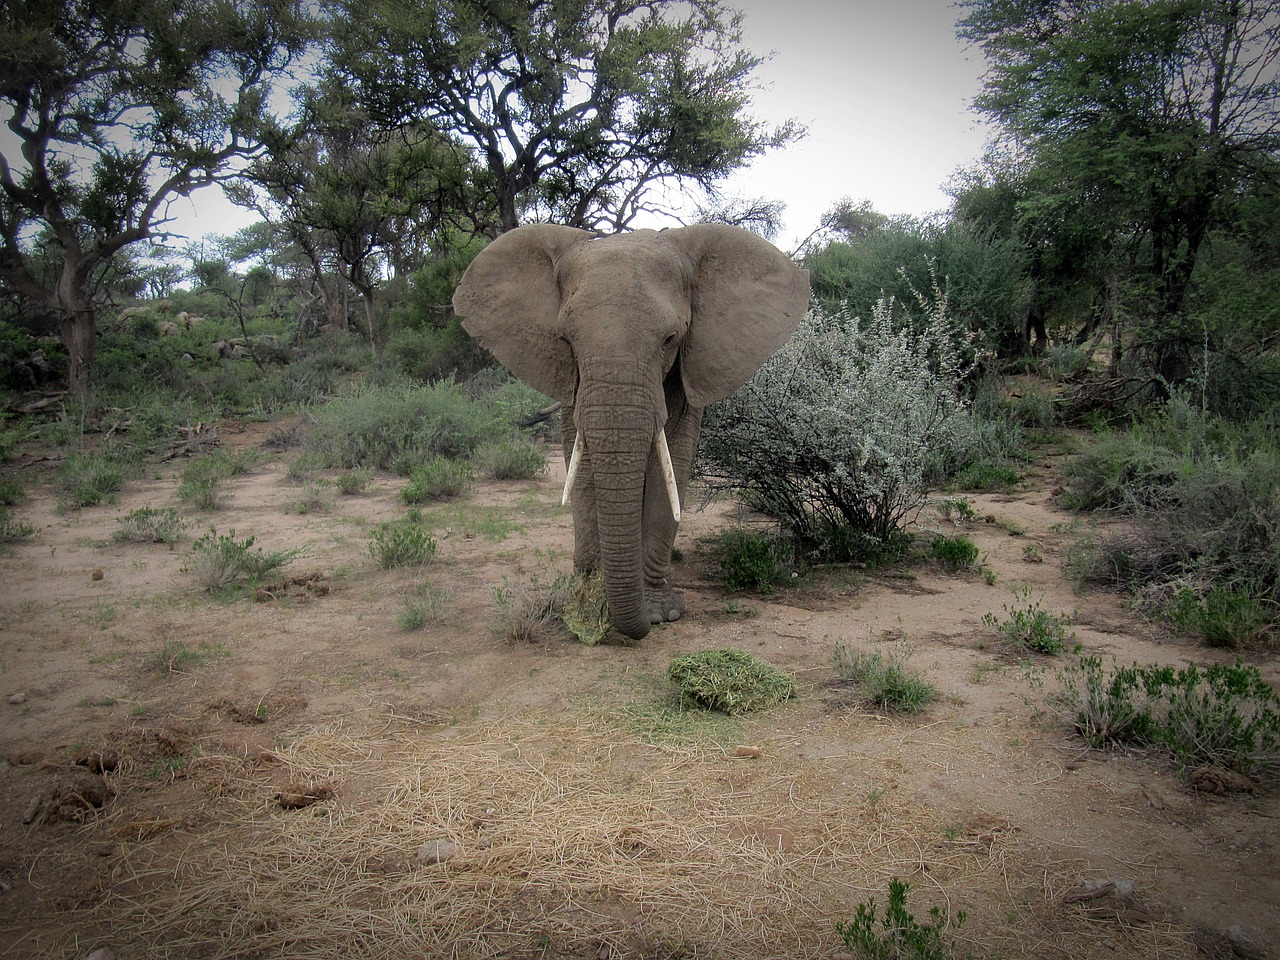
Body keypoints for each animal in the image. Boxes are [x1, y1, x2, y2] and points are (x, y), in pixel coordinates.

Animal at [455, 225, 803, 642]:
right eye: (566, 341)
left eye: (671, 338)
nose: (636, 627)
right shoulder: (571, 380)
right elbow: (581, 467)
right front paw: (585, 602)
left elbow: (673, 463)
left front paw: (660, 613)